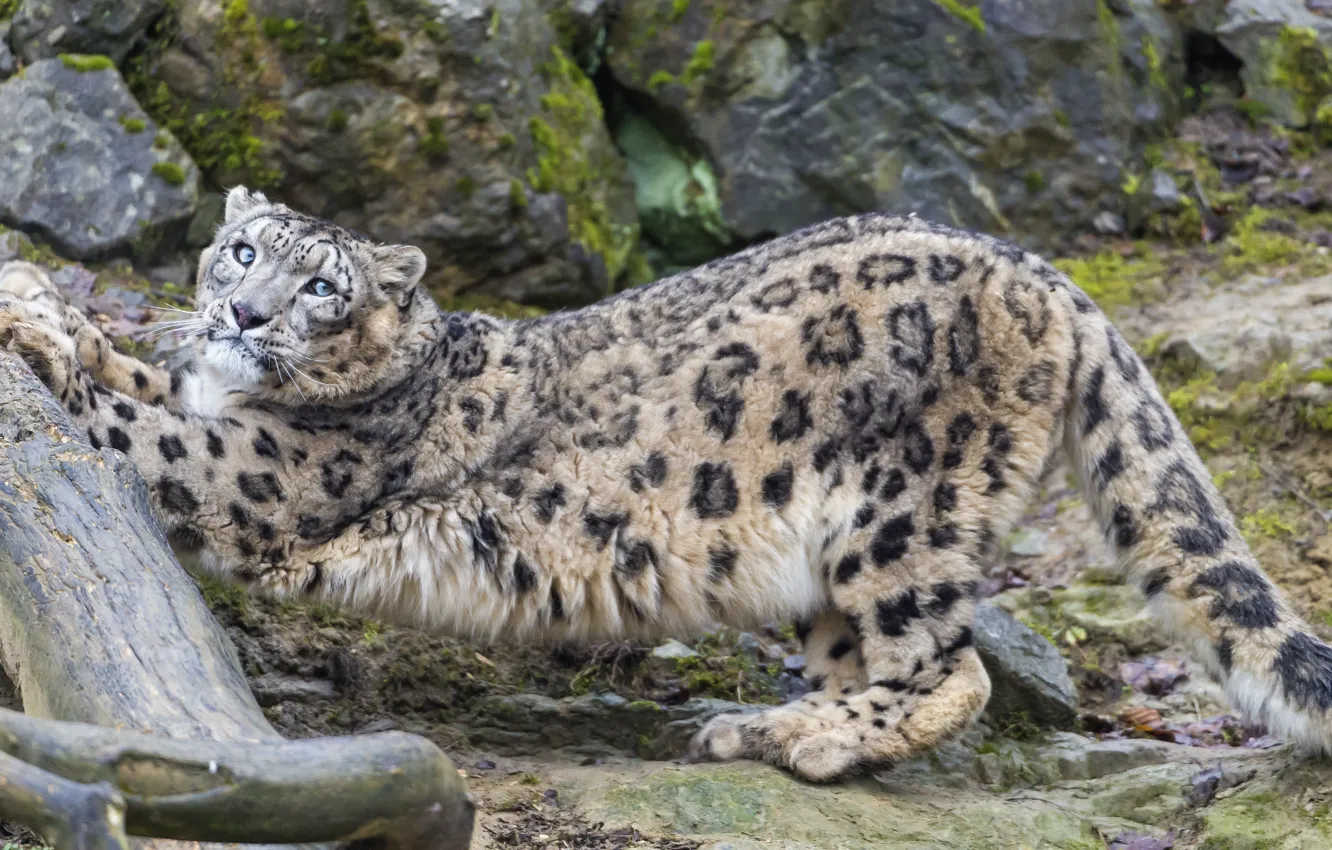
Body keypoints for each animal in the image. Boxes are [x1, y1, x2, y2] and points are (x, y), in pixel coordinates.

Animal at [2, 185, 1331, 783]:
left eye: (320, 286)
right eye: (239, 248)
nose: (244, 313)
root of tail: (1040, 270)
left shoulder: (264, 475)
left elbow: (142, 429)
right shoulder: (210, 403)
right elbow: (142, 375)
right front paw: (47, 311)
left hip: (900, 516)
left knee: (947, 666)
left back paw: (810, 739)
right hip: (832, 566)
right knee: (873, 654)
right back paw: (763, 720)